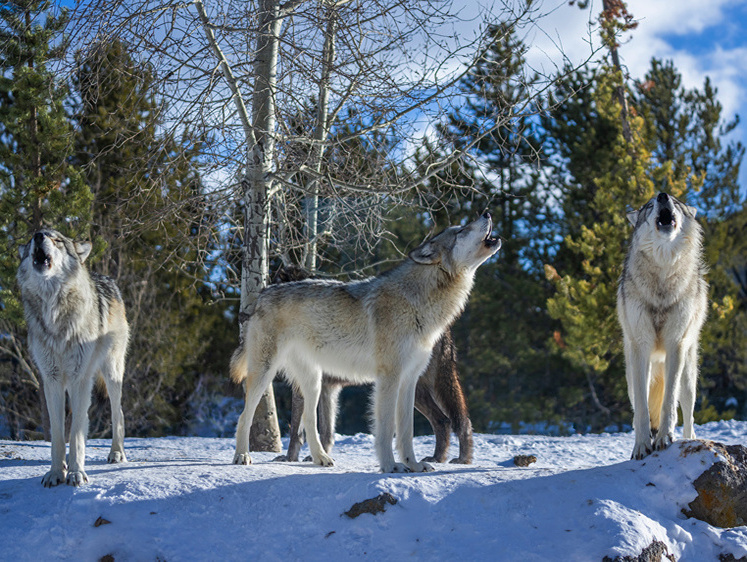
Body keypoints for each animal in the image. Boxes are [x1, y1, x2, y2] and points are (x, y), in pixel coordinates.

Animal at [17, 228, 129, 486]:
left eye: (56, 239)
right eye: (31, 238)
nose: (39, 235)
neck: (54, 311)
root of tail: (108, 280)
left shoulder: (80, 379)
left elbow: (76, 434)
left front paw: (76, 473)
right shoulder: (52, 380)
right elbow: (59, 435)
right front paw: (56, 473)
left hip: (111, 372)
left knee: (117, 412)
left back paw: (116, 453)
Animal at [278, 328, 476, 464]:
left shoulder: (305, 385)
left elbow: (296, 430)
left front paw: (290, 458)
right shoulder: (327, 388)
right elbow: (325, 430)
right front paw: (321, 457)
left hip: (418, 388)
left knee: (447, 420)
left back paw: (445, 459)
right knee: (454, 420)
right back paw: (453, 459)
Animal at [616, 192, 712, 460]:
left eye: (676, 202)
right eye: (649, 206)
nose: (662, 196)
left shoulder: (675, 344)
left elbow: (669, 402)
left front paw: (664, 438)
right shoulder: (640, 347)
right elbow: (642, 409)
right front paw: (641, 445)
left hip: (688, 376)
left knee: (688, 415)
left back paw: (690, 440)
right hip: (632, 376)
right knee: (641, 406)